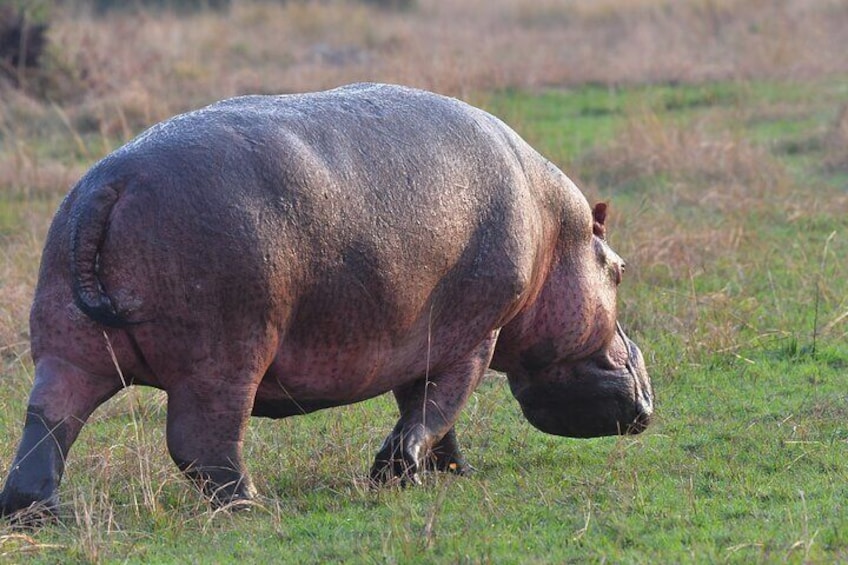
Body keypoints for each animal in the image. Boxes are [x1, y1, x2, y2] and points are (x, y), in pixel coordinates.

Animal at [0, 83, 653, 519]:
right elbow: (437, 409)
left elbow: (427, 414)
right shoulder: (474, 336)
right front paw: (398, 476)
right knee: (201, 443)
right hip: (224, 359)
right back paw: (254, 506)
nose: (649, 392)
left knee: (47, 426)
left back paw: (37, 513)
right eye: (620, 271)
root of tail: (112, 184)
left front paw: (448, 472)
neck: (557, 231)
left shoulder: (420, 340)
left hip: (68, 350)